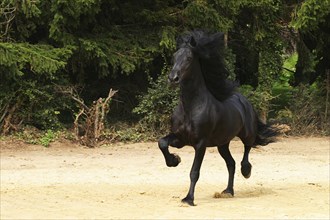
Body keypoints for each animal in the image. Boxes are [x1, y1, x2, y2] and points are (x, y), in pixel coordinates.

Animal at [159, 30, 278, 206]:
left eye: (189, 58)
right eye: (174, 56)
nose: (173, 78)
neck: (191, 107)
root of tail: (244, 100)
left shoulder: (200, 144)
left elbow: (194, 172)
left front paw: (188, 199)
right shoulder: (180, 139)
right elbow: (162, 143)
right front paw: (174, 160)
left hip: (246, 134)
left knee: (246, 149)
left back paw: (246, 171)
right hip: (222, 144)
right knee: (231, 163)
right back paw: (228, 191)